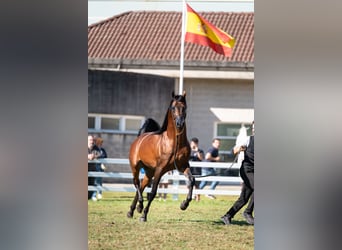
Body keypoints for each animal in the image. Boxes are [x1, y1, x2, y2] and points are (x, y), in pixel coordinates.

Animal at [127, 91, 195, 222]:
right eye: (173, 108)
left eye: (184, 107)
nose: (179, 124)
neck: (174, 142)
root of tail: (139, 140)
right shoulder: (160, 169)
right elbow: (153, 192)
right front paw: (144, 216)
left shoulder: (183, 166)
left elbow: (192, 181)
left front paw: (184, 204)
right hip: (135, 167)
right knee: (136, 183)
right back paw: (139, 206)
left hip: (149, 171)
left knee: (142, 185)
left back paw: (132, 210)